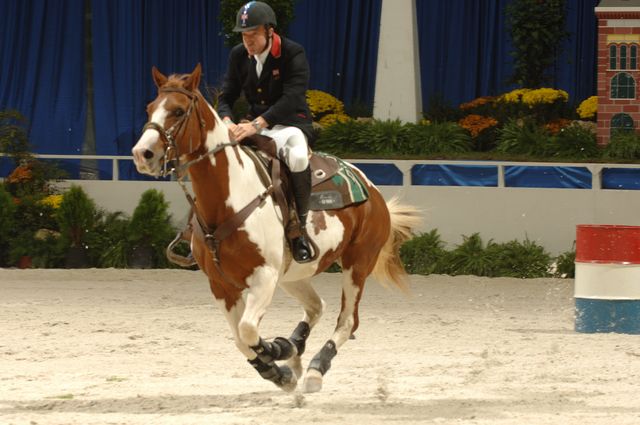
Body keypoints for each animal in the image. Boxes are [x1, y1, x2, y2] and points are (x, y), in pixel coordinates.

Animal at [131, 64, 420, 392]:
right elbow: (241, 339)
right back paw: (294, 346)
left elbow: (247, 331)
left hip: (357, 265)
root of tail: (372, 189)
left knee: (347, 321)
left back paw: (315, 368)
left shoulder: (264, 276)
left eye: (178, 111)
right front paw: (277, 366)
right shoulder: (221, 285)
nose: (142, 154)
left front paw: (275, 354)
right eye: (150, 108)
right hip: (293, 275)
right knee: (316, 306)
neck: (228, 199)